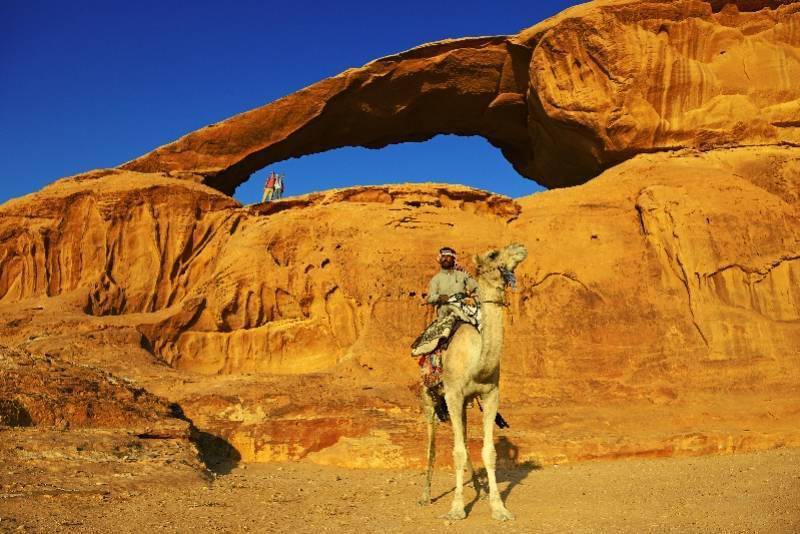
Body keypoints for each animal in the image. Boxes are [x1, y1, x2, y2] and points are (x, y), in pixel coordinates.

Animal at [416, 244, 528, 524]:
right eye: (493, 254)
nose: (520, 248)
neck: (477, 364)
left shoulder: (490, 394)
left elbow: (488, 452)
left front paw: (499, 508)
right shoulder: (453, 395)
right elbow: (456, 452)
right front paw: (456, 509)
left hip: (464, 403)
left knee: (465, 440)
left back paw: (478, 486)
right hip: (429, 398)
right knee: (432, 445)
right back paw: (425, 496)